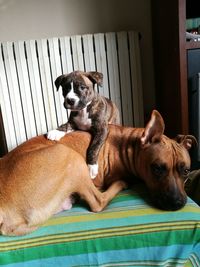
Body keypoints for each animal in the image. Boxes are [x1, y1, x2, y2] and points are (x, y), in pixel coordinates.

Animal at [0, 111, 195, 237]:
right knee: (98, 202)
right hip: (70, 157)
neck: (130, 146)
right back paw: (121, 183)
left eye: (186, 171)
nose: (177, 203)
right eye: (157, 168)